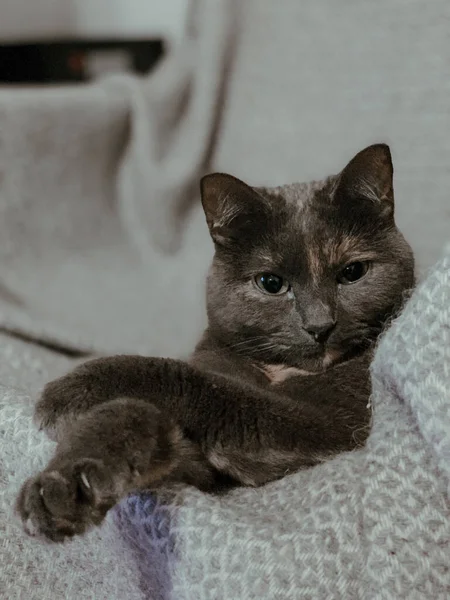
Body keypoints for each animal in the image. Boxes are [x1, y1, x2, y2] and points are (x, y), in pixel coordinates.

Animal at [15, 145, 414, 544]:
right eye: (271, 283)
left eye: (352, 273)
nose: (320, 326)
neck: (279, 372)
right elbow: (135, 414)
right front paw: (63, 487)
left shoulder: (326, 424)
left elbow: (201, 385)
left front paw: (77, 386)